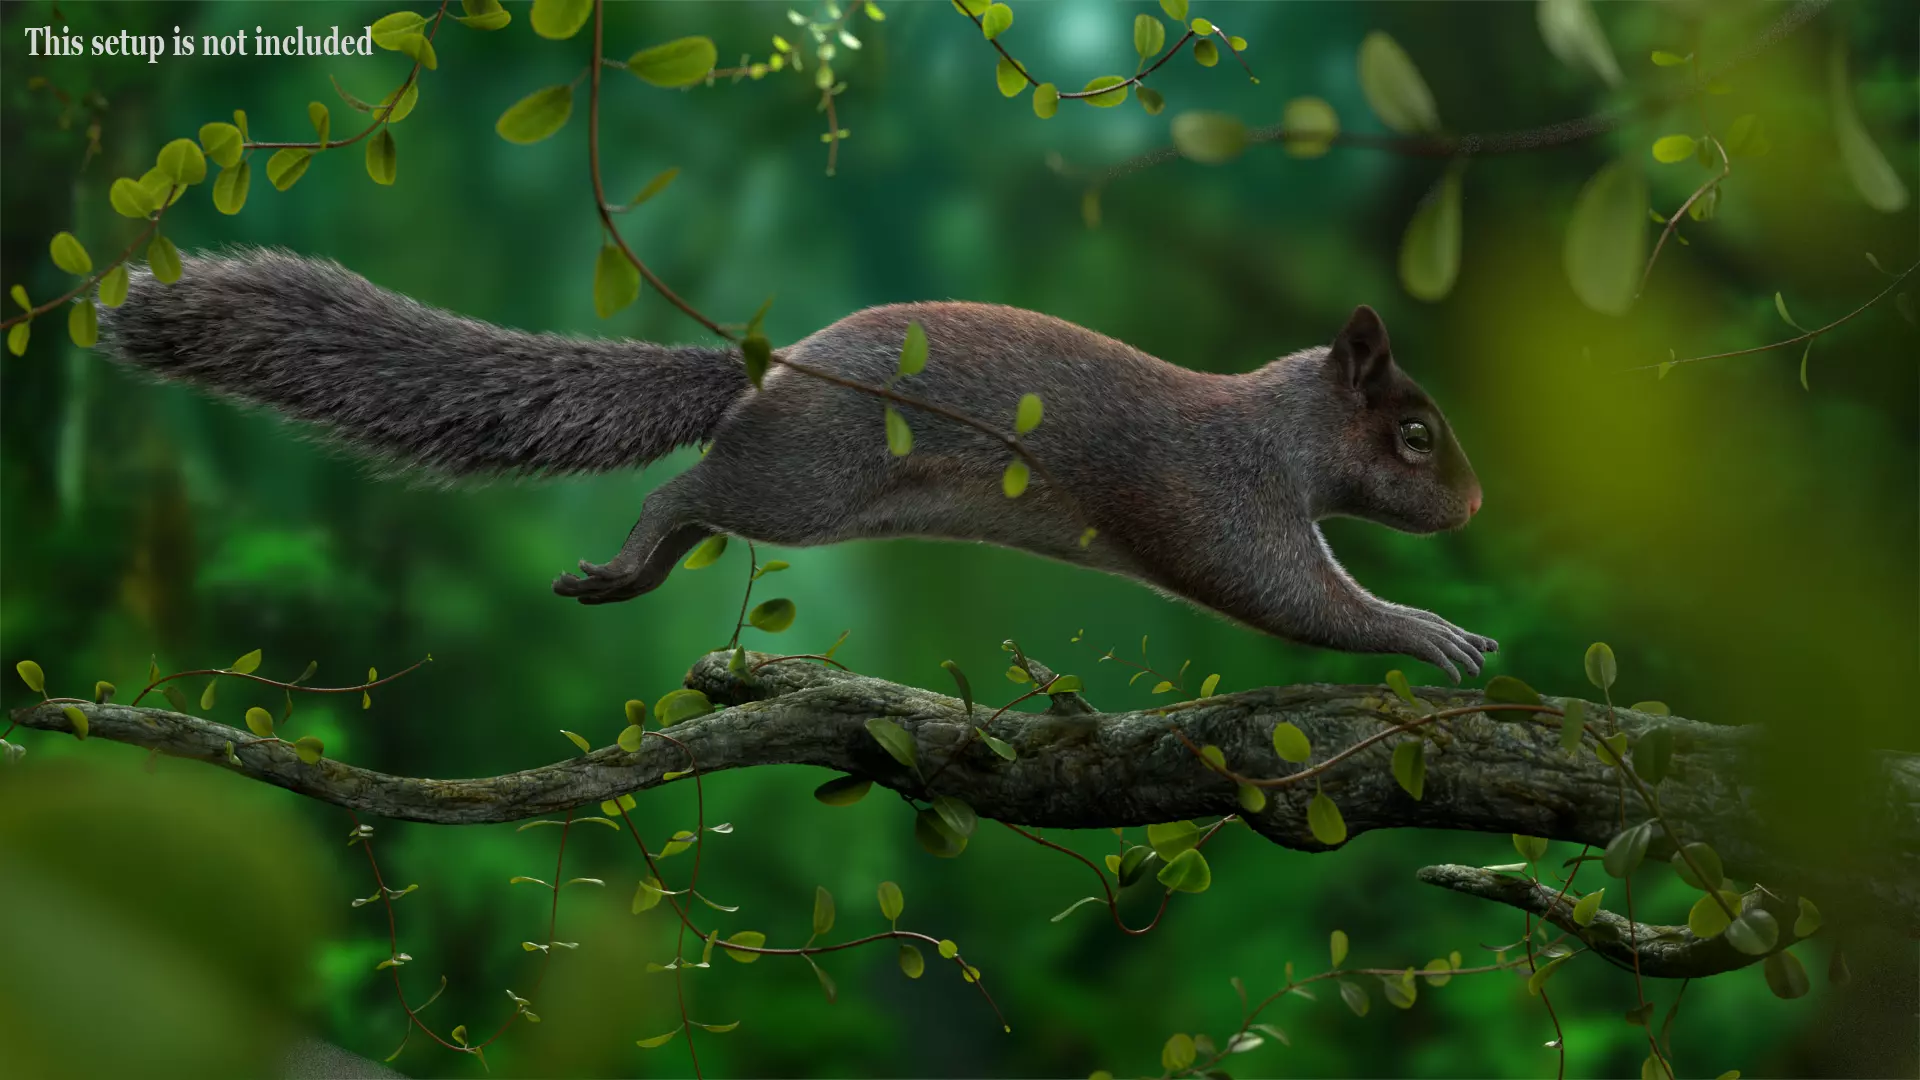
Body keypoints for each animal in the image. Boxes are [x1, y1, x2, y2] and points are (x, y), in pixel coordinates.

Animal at [98, 249, 1497, 681]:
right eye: (1414, 433)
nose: (1479, 502)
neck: (1279, 426)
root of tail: (767, 372)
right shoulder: (1220, 495)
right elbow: (1288, 592)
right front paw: (1428, 632)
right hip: (808, 483)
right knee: (683, 492)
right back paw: (621, 567)